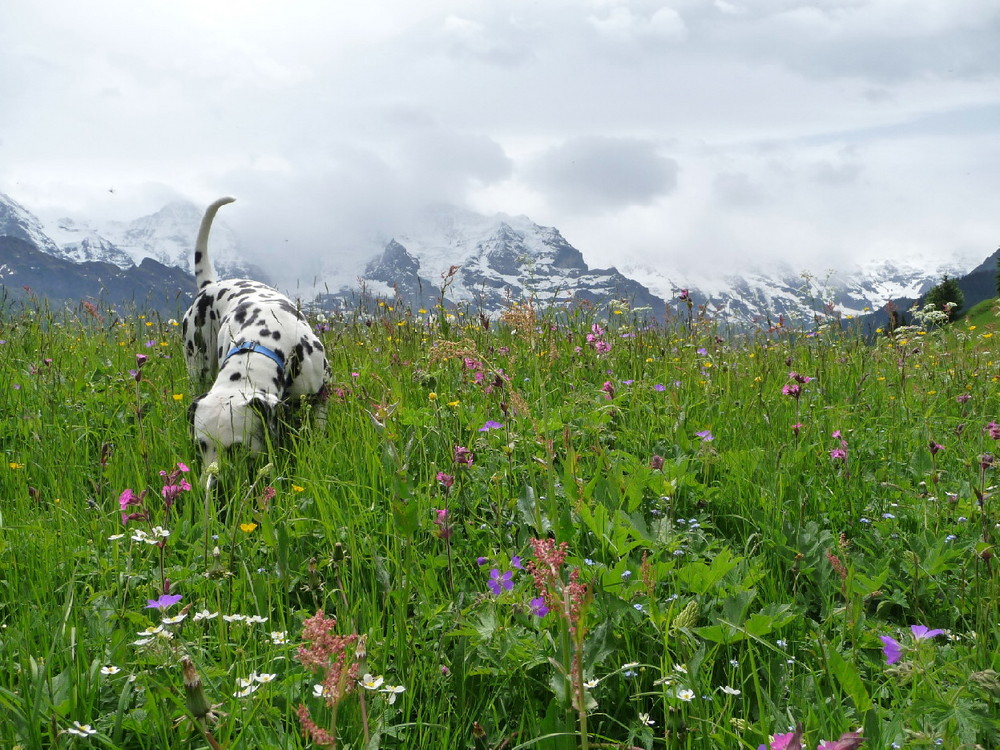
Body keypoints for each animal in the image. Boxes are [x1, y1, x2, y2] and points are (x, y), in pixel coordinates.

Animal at [182, 200, 330, 470]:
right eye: (200, 447)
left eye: (237, 449)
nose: (213, 480)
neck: (266, 340)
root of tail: (209, 285)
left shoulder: (322, 392)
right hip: (197, 365)